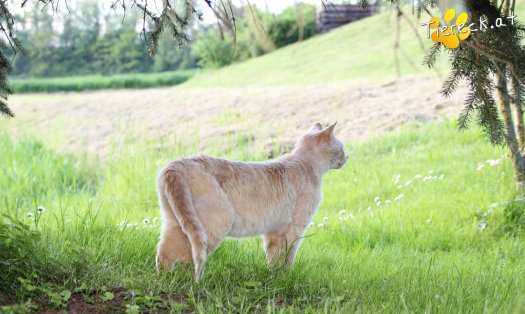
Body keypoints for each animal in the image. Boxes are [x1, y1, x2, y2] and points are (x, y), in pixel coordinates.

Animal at [155, 121, 348, 280]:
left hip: (176, 224)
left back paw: (167, 279)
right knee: (190, 258)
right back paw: (191, 282)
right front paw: (286, 278)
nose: (347, 157)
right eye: (343, 148)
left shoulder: (274, 232)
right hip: (213, 225)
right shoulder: (295, 229)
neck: (305, 164)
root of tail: (177, 164)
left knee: (164, 252)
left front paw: (275, 278)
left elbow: (274, 257)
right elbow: (288, 256)